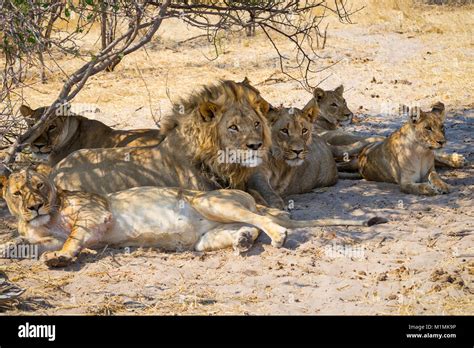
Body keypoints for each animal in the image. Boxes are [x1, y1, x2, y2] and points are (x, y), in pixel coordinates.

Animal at [0, 170, 388, 268]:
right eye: (18, 192)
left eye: (39, 186)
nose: (34, 206)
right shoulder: (39, 234)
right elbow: (22, 242)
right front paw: (10, 246)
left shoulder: (96, 213)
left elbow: (72, 238)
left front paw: (60, 258)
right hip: (205, 237)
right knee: (246, 229)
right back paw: (243, 241)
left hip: (209, 199)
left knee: (266, 220)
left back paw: (278, 236)